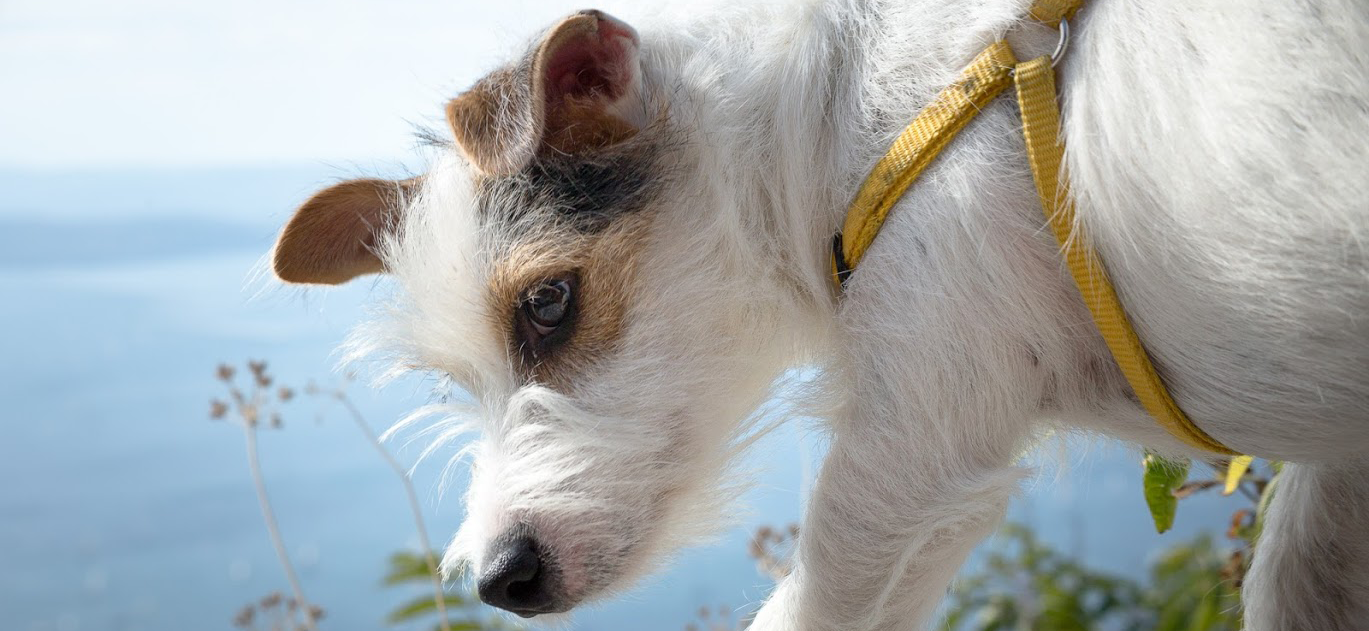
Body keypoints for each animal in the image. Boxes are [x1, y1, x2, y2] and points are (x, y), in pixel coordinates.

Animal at [266, 2, 1369, 626]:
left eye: (546, 302)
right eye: (457, 376)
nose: (497, 577)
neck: (835, 124)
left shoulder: (897, 473)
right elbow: (1301, 581)